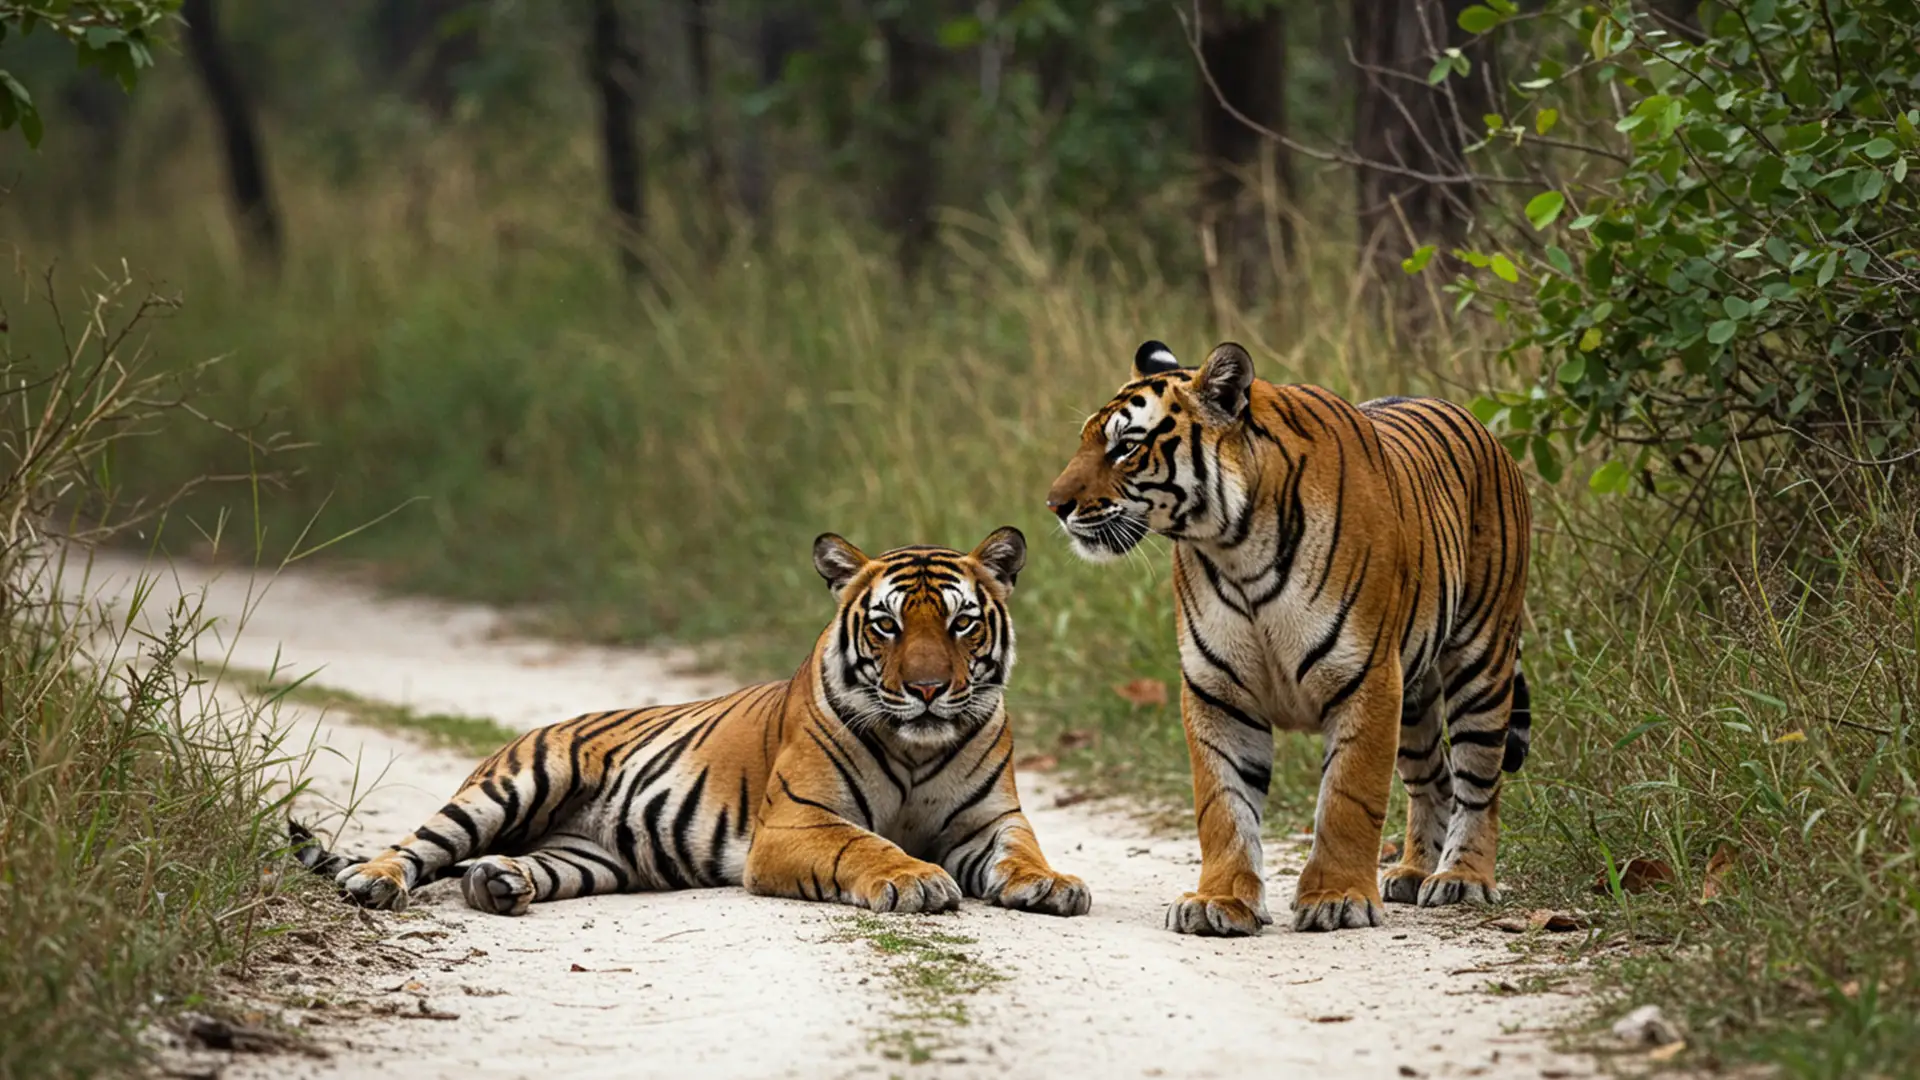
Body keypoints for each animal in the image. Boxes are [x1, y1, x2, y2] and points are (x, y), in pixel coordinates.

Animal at [291, 527, 1091, 920]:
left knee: (518, 866)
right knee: (417, 844)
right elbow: (865, 846)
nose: (927, 690)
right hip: (514, 784)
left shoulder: (992, 821)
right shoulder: (797, 824)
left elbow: (1022, 854)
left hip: (592, 857)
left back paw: (498, 884)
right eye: (887, 626)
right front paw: (915, 879)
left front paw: (1052, 885)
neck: (919, 746)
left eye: (961, 623)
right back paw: (372, 883)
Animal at [1044, 340, 1532, 935]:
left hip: (1481, 662)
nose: (1054, 505)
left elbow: (1348, 797)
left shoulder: (1366, 678)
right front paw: (1220, 900)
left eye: (1126, 447)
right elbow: (1223, 804)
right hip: (1415, 699)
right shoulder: (1217, 688)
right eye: (1086, 441)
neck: (1234, 548)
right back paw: (1413, 872)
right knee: (1432, 778)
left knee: (1479, 782)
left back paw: (1462, 878)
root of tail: (1485, 431)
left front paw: (1338, 898)